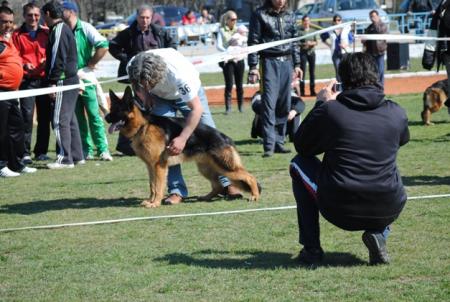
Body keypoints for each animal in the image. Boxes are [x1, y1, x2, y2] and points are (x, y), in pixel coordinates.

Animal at [105, 86, 260, 208]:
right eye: (111, 108)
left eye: (117, 110)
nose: (106, 118)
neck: (143, 125)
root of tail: (225, 138)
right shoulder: (150, 166)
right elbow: (152, 186)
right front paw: (150, 201)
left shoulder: (158, 166)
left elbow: (158, 186)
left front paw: (155, 203)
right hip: (206, 168)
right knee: (218, 185)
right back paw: (206, 197)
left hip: (225, 167)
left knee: (250, 177)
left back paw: (255, 196)